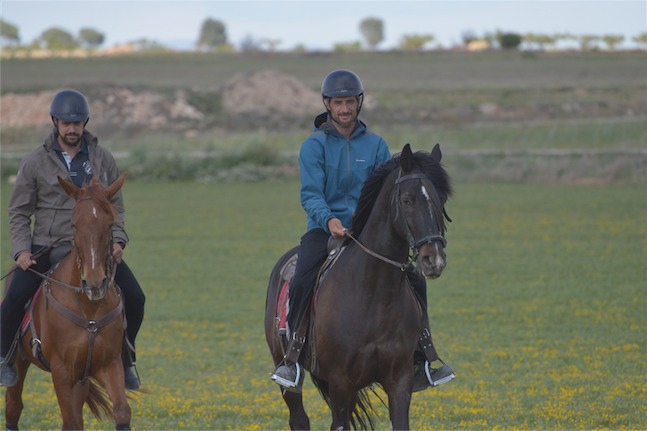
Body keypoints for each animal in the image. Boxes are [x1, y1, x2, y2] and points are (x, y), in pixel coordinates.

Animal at [3, 174, 133, 430]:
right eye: (74, 224)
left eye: (109, 224)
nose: (95, 282)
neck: (89, 310)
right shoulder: (63, 372)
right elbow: (71, 421)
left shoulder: (109, 364)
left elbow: (122, 411)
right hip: (20, 363)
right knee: (13, 408)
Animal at [266, 144, 454, 428]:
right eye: (407, 200)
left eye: (440, 200)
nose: (434, 259)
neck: (373, 295)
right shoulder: (340, 380)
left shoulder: (399, 379)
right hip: (288, 374)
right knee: (298, 418)